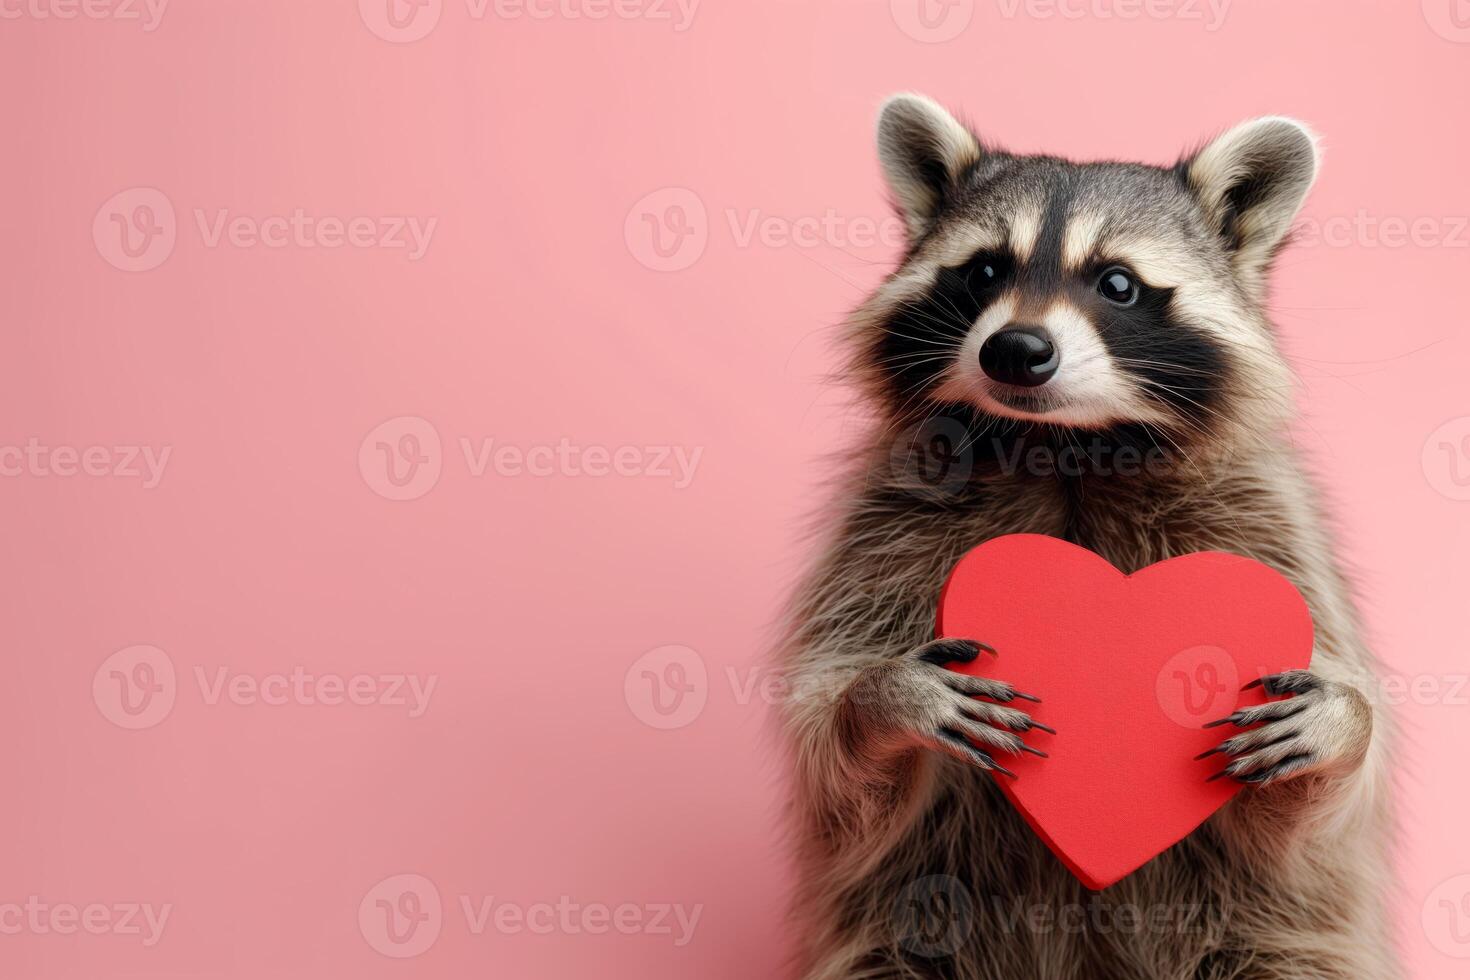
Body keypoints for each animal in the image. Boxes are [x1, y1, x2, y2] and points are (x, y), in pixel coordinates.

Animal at [776, 94, 1393, 980]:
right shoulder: (885, 520)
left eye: (1117, 283)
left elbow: (1301, 831)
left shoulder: (1268, 524)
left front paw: (1344, 725)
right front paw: (884, 697)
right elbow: (837, 765)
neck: (1067, 448)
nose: (1015, 350)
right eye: (985, 272)